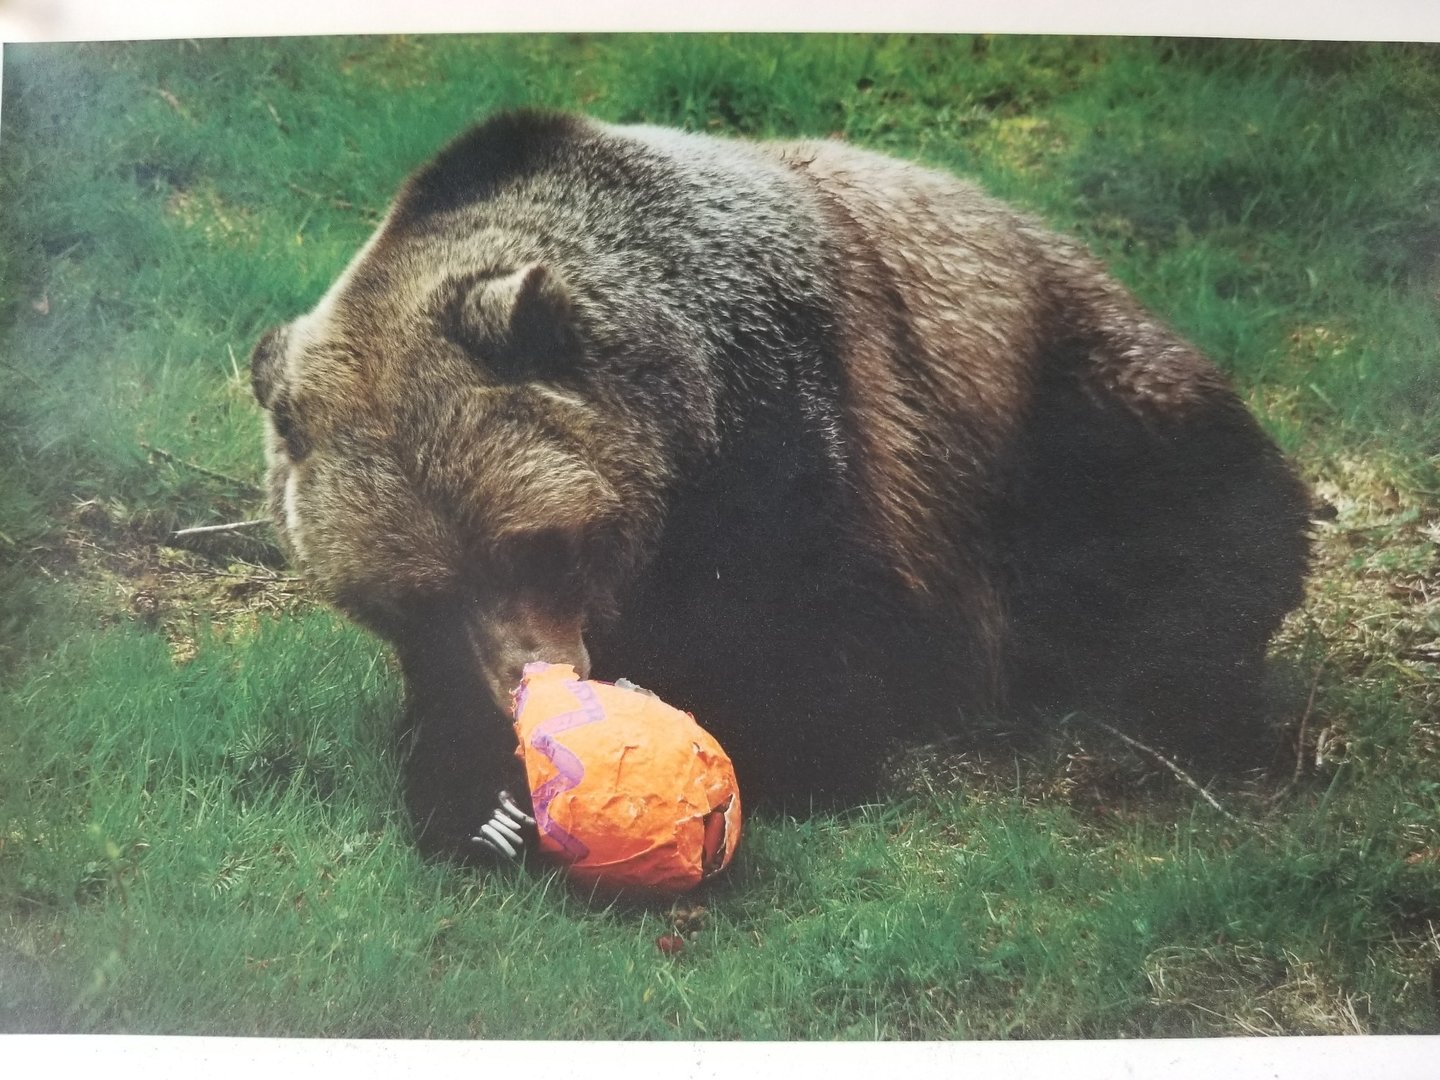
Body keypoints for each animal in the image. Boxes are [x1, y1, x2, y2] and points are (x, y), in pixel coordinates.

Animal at [249, 109, 1311, 860]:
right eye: (416, 596)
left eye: (537, 545)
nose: (537, 678)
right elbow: (436, 708)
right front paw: (486, 804)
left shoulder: (807, 438)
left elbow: (816, 665)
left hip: (1047, 398)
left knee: (1197, 520)